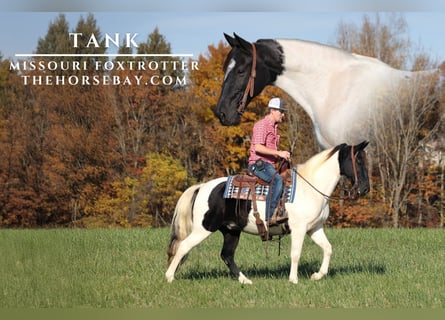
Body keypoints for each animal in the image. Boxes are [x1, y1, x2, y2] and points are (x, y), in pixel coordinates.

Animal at [165, 141, 370, 284]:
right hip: (204, 228)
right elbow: (296, 253)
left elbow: (327, 248)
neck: (310, 188)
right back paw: (169, 276)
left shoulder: (315, 228)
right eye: (359, 160)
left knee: (227, 255)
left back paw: (245, 280)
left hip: (231, 231)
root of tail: (202, 187)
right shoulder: (299, 229)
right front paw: (293, 279)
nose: (365, 189)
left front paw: (317, 275)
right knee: (184, 246)